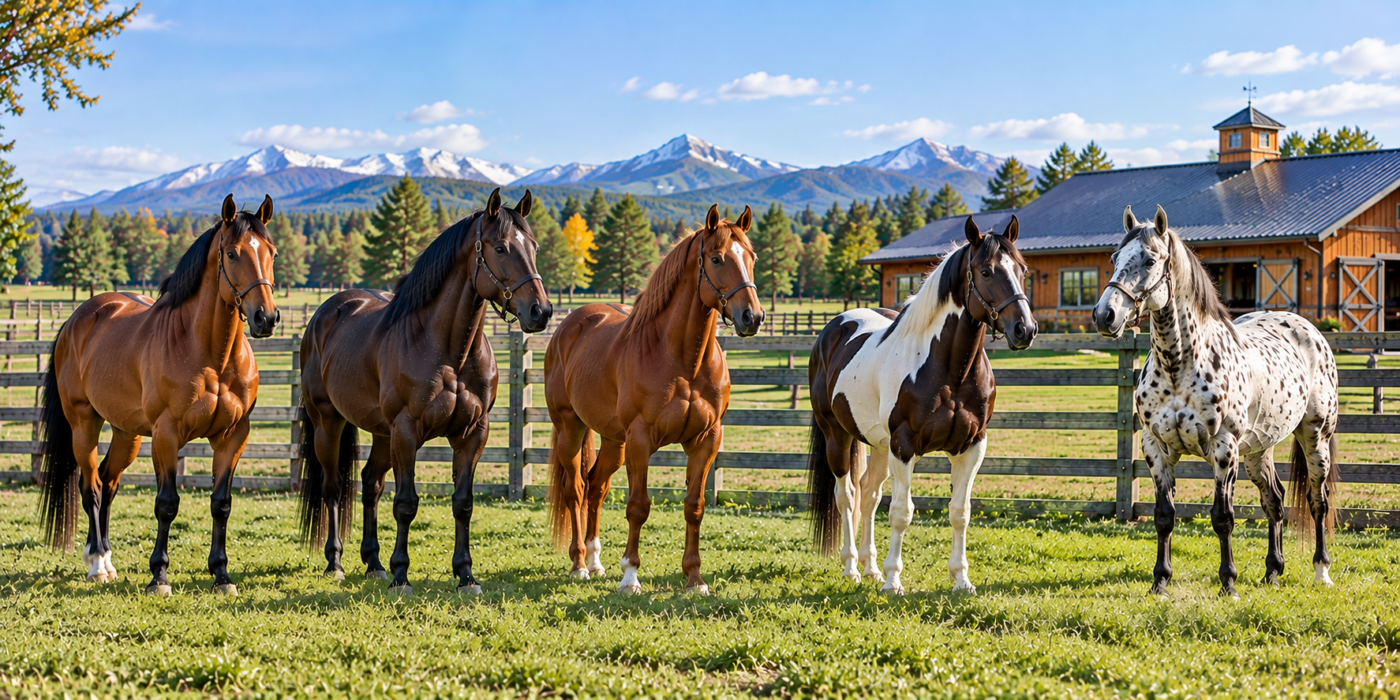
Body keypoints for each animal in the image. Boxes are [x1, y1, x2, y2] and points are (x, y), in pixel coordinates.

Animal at [39, 194, 280, 595]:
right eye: (232, 254)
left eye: (272, 253)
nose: (267, 317)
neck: (209, 353)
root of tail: (79, 318)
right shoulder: (167, 435)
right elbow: (167, 503)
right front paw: (159, 576)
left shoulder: (233, 437)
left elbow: (221, 503)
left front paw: (221, 574)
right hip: (83, 424)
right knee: (91, 487)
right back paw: (97, 564)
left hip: (127, 432)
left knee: (109, 482)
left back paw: (107, 559)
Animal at [297, 187, 551, 595]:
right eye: (500, 247)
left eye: (534, 246)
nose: (540, 311)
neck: (447, 348)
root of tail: (326, 313)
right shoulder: (406, 432)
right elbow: (406, 503)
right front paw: (401, 576)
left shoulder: (472, 434)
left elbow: (463, 503)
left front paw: (466, 575)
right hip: (328, 423)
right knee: (334, 488)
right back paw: (336, 562)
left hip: (381, 433)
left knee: (370, 484)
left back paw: (373, 563)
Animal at [545, 204, 763, 595]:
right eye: (717, 258)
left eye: (751, 258)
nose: (752, 316)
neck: (682, 359)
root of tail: (569, 326)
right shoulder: (641, 439)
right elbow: (638, 506)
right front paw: (630, 576)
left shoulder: (706, 440)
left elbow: (694, 506)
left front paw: (694, 578)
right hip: (571, 428)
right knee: (576, 490)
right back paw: (580, 564)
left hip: (613, 440)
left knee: (596, 488)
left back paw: (597, 562)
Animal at [806, 215, 1036, 595]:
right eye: (986, 271)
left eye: (1023, 270)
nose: (1025, 329)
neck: (950, 370)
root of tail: (833, 328)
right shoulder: (904, 446)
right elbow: (901, 512)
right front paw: (894, 581)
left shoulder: (972, 446)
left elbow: (960, 512)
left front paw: (961, 580)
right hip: (837, 436)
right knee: (848, 496)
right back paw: (852, 568)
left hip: (878, 444)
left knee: (868, 495)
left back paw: (870, 569)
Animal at [1094, 205, 1340, 597]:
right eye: (1115, 258)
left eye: (1150, 260)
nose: (1105, 315)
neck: (1179, 366)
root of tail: (1309, 330)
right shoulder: (1156, 448)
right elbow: (1164, 517)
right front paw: (1160, 582)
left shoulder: (1224, 450)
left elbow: (1223, 518)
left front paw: (1229, 584)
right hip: (1258, 449)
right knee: (1274, 501)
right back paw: (1273, 571)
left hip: (1314, 439)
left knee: (1318, 502)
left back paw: (1321, 572)